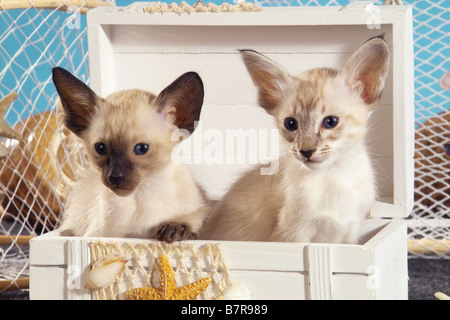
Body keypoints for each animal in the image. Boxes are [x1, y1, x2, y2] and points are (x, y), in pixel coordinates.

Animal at [201, 35, 390, 242]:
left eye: (330, 122)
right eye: (291, 124)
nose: (306, 151)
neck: (333, 177)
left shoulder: (350, 231)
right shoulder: (293, 234)